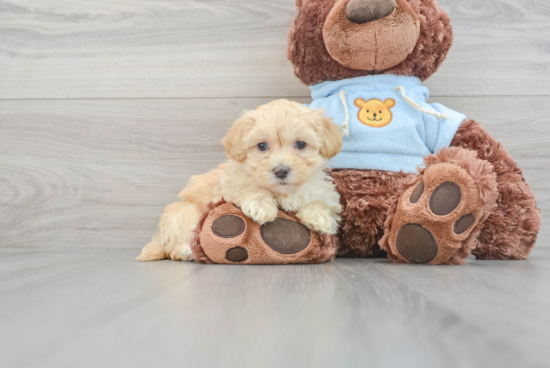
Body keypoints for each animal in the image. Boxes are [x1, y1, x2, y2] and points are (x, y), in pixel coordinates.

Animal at [137, 100, 342, 262]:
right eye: (262, 146)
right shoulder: (231, 182)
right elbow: (248, 186)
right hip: (185, 213)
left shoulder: (323, 190)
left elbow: (321, 200)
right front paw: (262, 206)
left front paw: (319, 217)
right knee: (174, 245)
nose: (281, 171)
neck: (281, 191)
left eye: (300, 144)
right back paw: (187, 251)